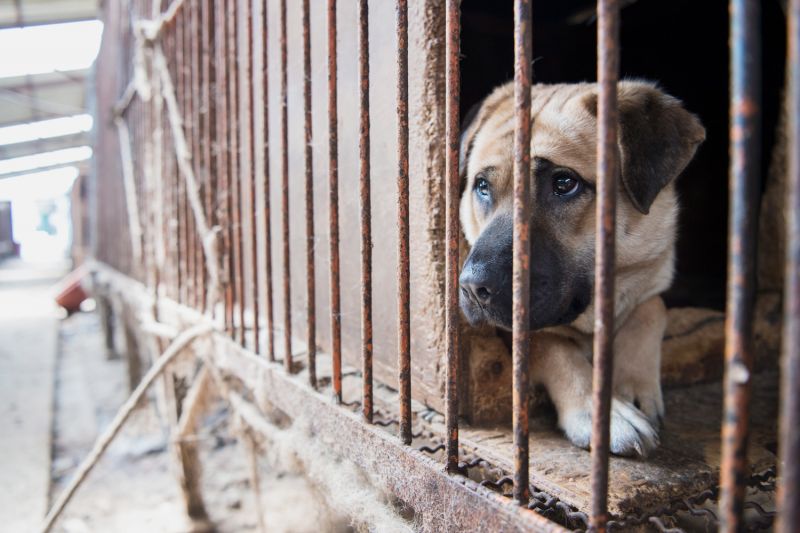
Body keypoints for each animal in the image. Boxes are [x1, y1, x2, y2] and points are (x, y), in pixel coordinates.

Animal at [460, 81, 704, 456]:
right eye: (482, 187)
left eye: (564, 183)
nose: (473, 288)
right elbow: (554, 345)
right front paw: (601, 412)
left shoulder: (652, 280)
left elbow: (651, 310)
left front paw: (631, 383)